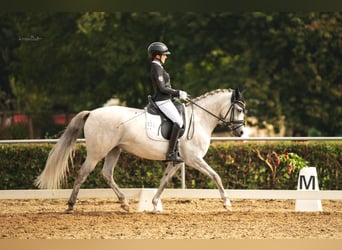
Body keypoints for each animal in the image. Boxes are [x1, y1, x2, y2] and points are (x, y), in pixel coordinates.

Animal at [35, 89, 246, 212]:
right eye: (239, 109)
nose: (241, 132)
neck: (200, 119)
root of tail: (92, 113)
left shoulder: (178, 161)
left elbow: (164, 181)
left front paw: (154, 204)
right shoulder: (194, 159)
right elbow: (216, 176)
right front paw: (227, 203)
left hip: (114, 150)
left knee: (107, 174)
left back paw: (124, 203)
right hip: (97, 153)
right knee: (82, 173)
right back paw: (70, 205)